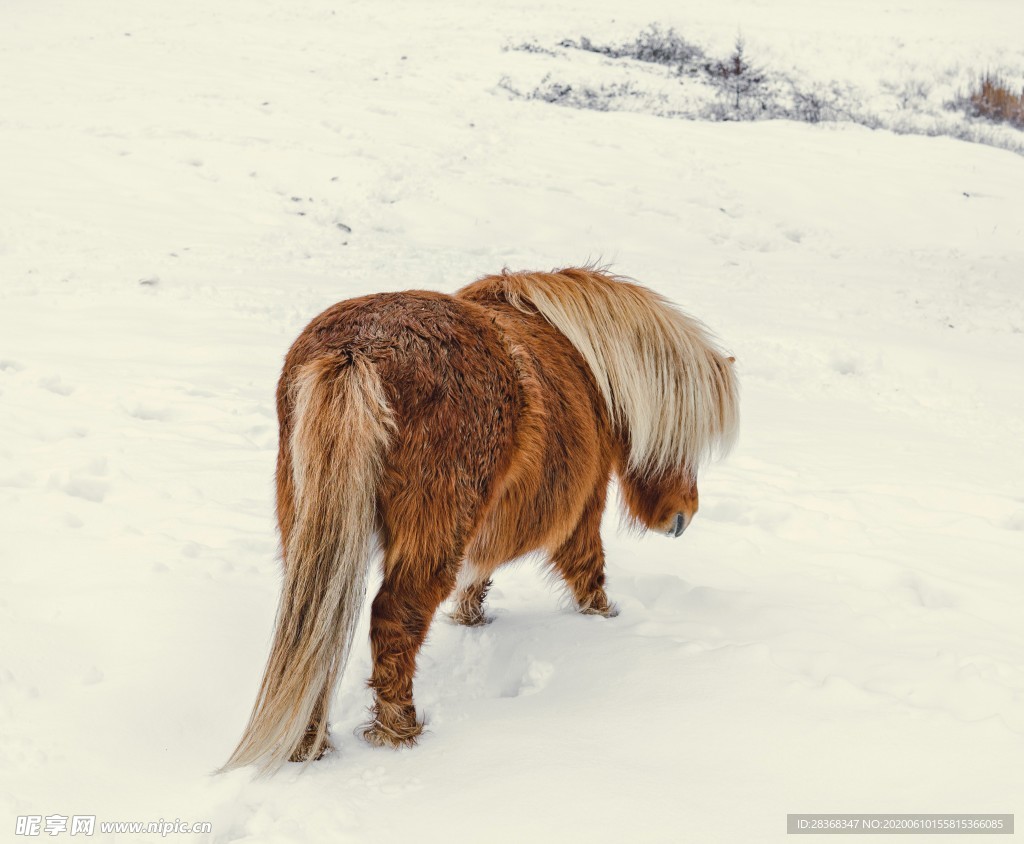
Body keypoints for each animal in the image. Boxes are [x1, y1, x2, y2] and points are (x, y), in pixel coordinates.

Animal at [221, 266, 739, 774]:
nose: (683, 516)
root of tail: (356, 350)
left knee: (317, 627)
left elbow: (480, 572)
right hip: (432, 530)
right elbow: (588, 569)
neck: (590, 370)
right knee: (394, 618)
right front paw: (604, 619)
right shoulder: (581, 508)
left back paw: (309, 743)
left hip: (313, 529)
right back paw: (398, 731)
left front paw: (471, 618)